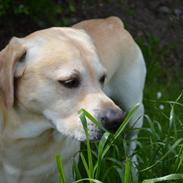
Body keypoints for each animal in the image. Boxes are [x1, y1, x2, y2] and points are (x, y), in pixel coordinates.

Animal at [0, 16, 146, 182]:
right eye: (70, 82)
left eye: (102, 78)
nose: (116, 120)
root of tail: (111, 21)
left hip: (134, 110)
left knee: (131, 144)